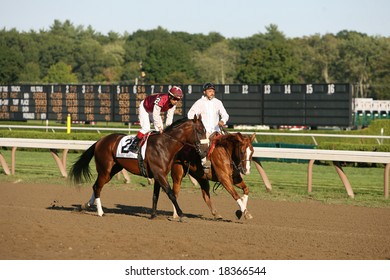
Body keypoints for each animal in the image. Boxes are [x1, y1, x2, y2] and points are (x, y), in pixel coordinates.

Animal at [68, 116, 209, 221]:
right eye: (200, 131)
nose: (205, 152)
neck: (164, 145)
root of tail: (99, 141)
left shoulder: (158, 175)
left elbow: (155, 195)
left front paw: (153, 215)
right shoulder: (160, 174)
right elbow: (171, 194)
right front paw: (182, 215)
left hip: (112, 170)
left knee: (96, 186)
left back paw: (85, 205)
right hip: (105, 169)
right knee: (98, 187)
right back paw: (100, 212)